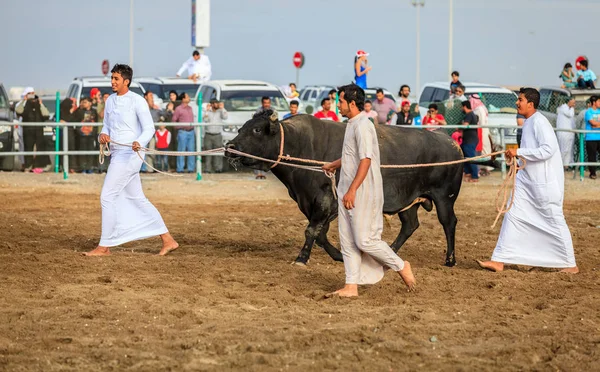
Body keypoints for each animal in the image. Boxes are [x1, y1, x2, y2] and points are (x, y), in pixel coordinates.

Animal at [225, 111, 464, 268]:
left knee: (448, 223)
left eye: (256, 129)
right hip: (409, 201)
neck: (301, 145)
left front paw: (302, 258)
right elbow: (319, 234)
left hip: (444, 197)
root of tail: (450, 141)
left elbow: (312, 230)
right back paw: (390, 254)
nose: (230, 147)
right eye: (240, 128)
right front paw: (339, 256)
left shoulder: (325, 200)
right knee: (410, 225)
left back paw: (450, 259)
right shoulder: (309, 201)